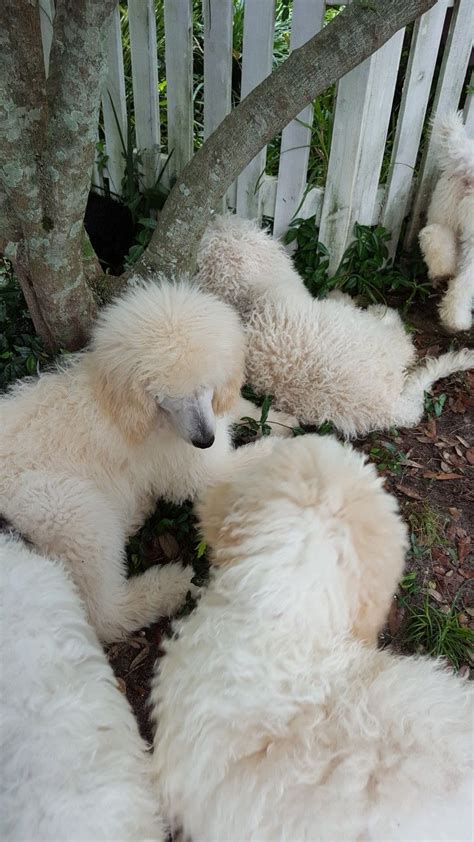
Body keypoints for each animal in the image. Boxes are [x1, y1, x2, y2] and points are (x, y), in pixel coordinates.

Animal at [0, 278, 292, 640]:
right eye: (164, 396)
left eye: (204, 387)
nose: (204, 440)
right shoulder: (199, 472)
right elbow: (246, 463)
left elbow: (240, 410)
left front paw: (280, 418)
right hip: (69, 509)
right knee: (104, 615)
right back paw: (169, 585)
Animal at [197, 213, 474, 436]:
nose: (215, 219)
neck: (250, 300)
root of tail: (392, 406)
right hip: (384, 341)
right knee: (402, 337)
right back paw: (379, 311)